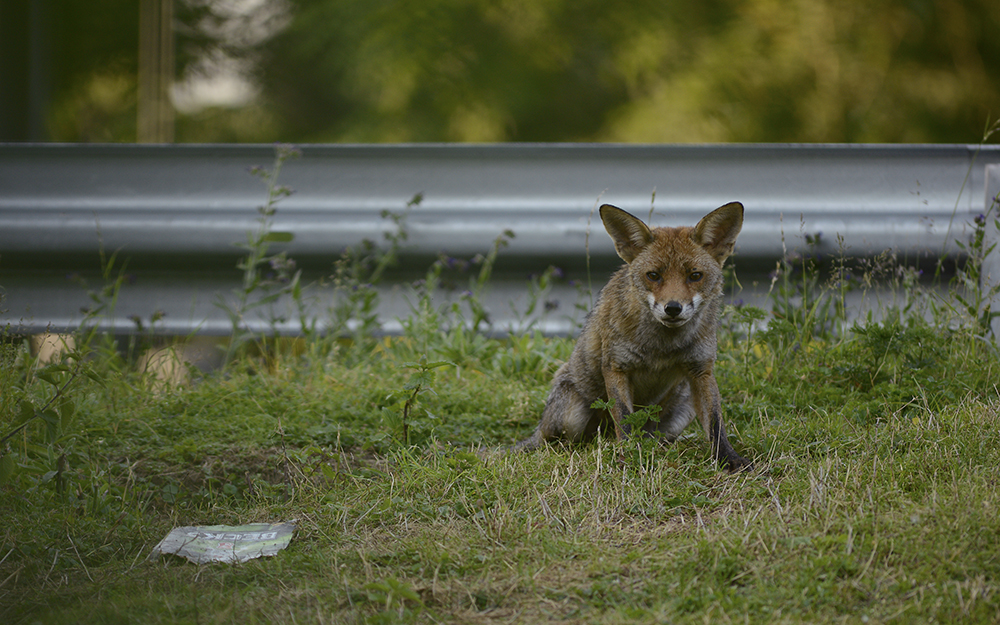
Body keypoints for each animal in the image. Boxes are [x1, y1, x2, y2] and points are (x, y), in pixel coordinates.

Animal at [512, 202, 752, 470]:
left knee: (654, 436)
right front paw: (627, 458)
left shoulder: (701, 370)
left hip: (681, 409)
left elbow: (716, 424)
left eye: (695, 276)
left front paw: (729, 459)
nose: (673, 308)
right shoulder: (616, 368)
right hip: (571, 417)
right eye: (653, 275)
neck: (662, 346)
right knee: (564, 442)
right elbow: (624, 420)